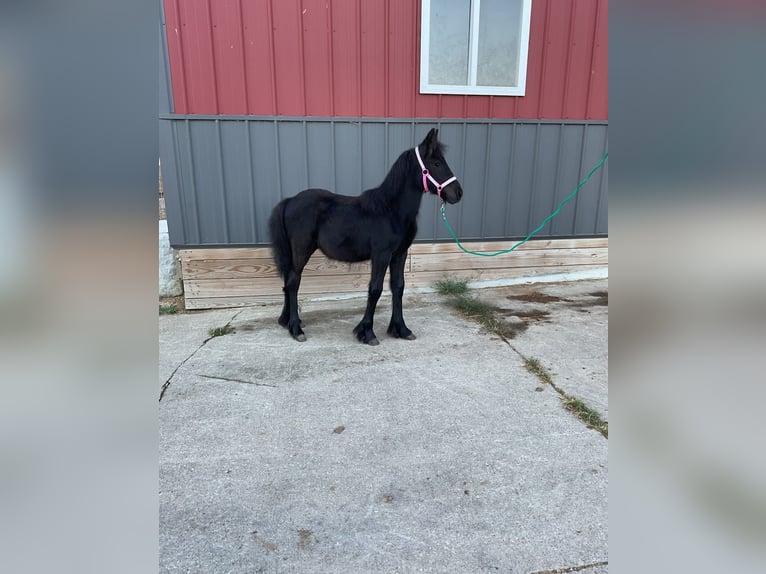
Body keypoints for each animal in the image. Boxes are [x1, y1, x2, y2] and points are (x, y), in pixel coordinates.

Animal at [268, 128, 463, 345]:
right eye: (436, 163)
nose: (458, 193)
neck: (391, 210)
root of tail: (290, 200)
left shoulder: (399, 254)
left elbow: (398, 287)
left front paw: (401, 329)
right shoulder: (381, 255)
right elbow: (375, 289)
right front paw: (367, 332)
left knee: (288, 280)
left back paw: (287, 321)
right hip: (301, 250)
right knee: (293, 282)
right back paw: (296, 328)